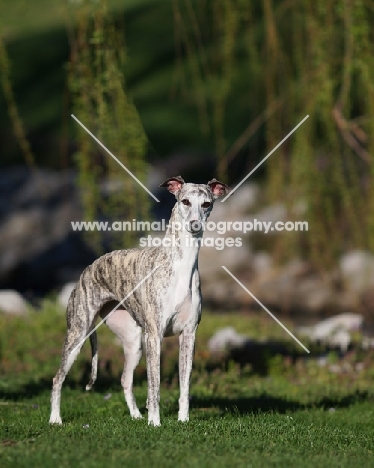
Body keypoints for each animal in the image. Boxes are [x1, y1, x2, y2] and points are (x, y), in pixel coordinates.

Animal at [49, 176, 231, 424]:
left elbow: (185, 386)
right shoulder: (154, 336)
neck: (180, 266)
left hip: (133, 342)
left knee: (125, 379)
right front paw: (154, 422)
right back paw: (55, 419)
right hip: (77, 334)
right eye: (185, 201)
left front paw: (183, 420)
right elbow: (154, 386)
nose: (195, 225)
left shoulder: (188, 335)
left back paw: (135, 415)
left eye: (206, 204)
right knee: (57, 378)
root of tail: (88, 269)